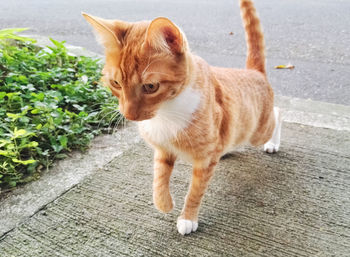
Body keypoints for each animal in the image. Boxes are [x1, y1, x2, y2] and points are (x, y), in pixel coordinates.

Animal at [82, 0, 282, 234]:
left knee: (277, 113)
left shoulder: (204, 162)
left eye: (151, 87)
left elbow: (195, 191)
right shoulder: (162, 149)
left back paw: (272, 143)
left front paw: (188, 218)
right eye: (115, 84)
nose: (128, 114)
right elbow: (159, 178)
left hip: (259, 131)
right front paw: (164, 203)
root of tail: (254, 72)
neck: (166, 112)